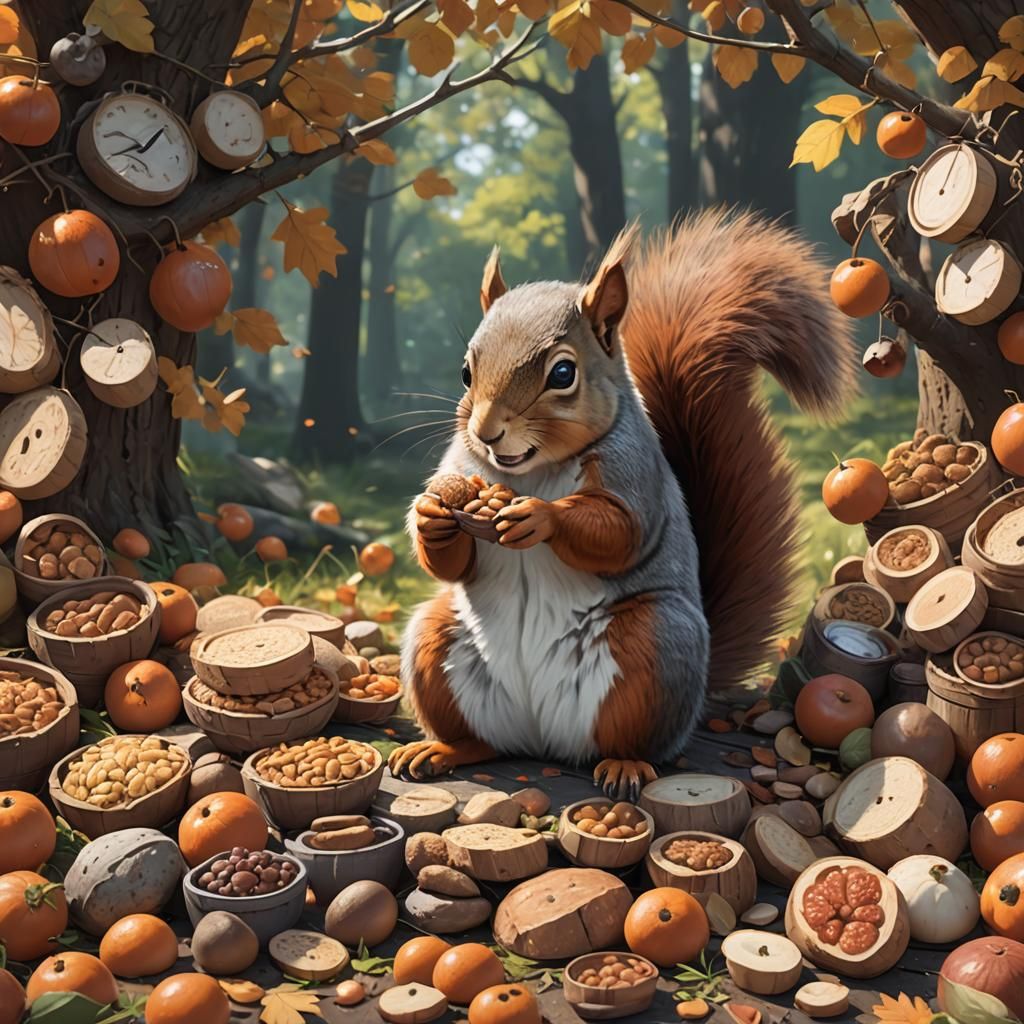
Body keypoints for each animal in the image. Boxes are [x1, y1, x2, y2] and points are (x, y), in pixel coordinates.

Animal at [389, 209, 858, 798]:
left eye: (562, 373)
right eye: (466, 372)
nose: (487, 432)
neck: (533, 471)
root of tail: (543, 739)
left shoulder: (634, 472)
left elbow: (618, 533)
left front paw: (537, 517)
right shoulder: (462, 464)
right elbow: (452, 560)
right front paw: (431, 517)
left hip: (655, 648)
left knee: (632, 738)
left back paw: (624, 766)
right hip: (437, 640)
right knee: (480, 736)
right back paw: (443, 749)